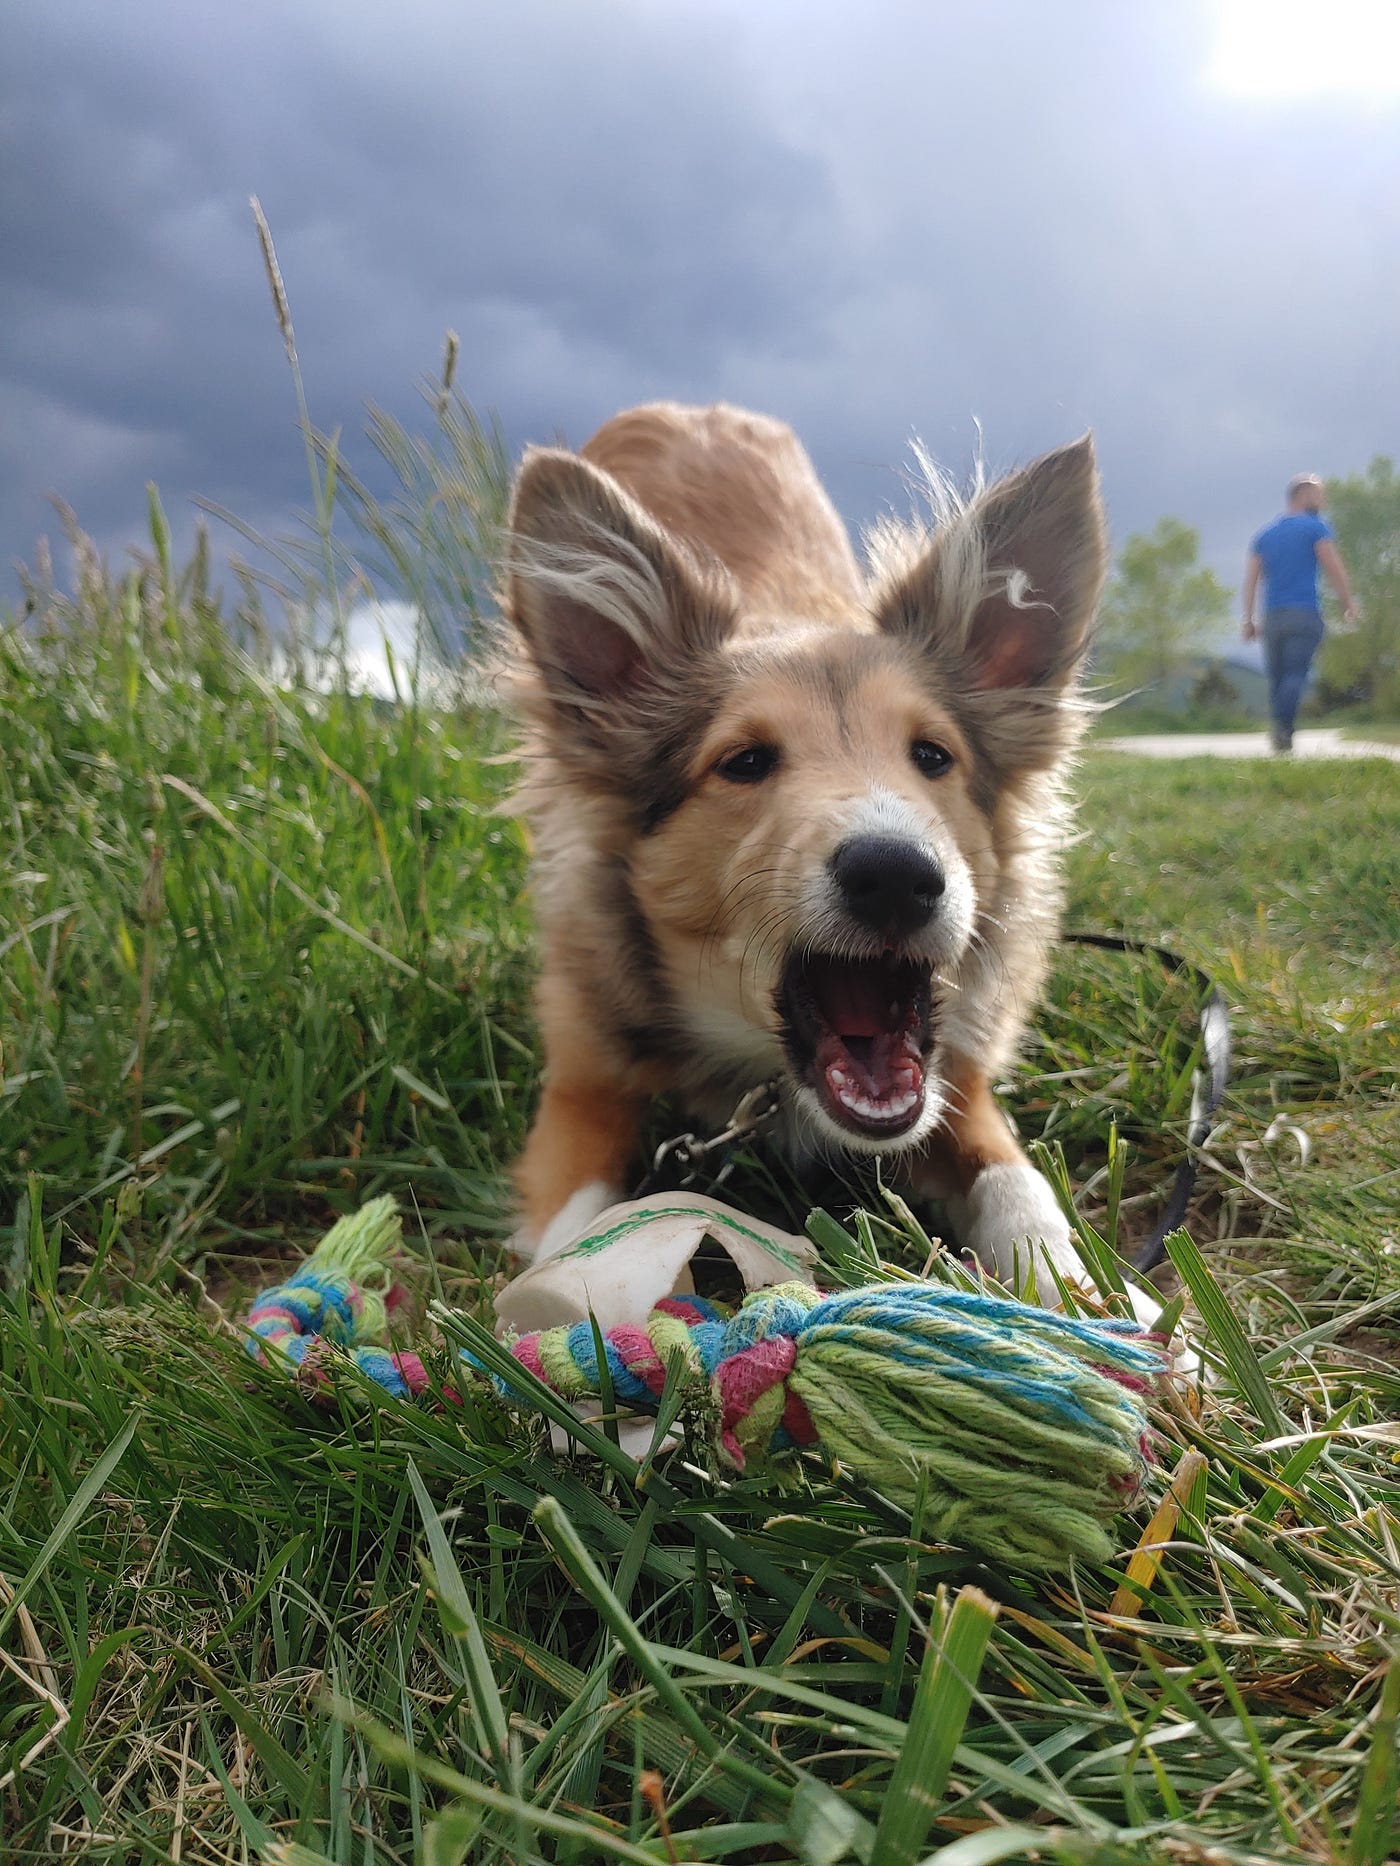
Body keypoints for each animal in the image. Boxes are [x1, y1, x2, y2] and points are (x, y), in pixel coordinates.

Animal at [504, 401, 1164, 1321]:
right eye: (744, 761)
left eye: (933, 755)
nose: (896, 876)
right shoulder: (580, 1087)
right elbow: (573, 1219)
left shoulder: (959, 1087)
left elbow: (1020, 1184)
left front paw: (1092, 1296)